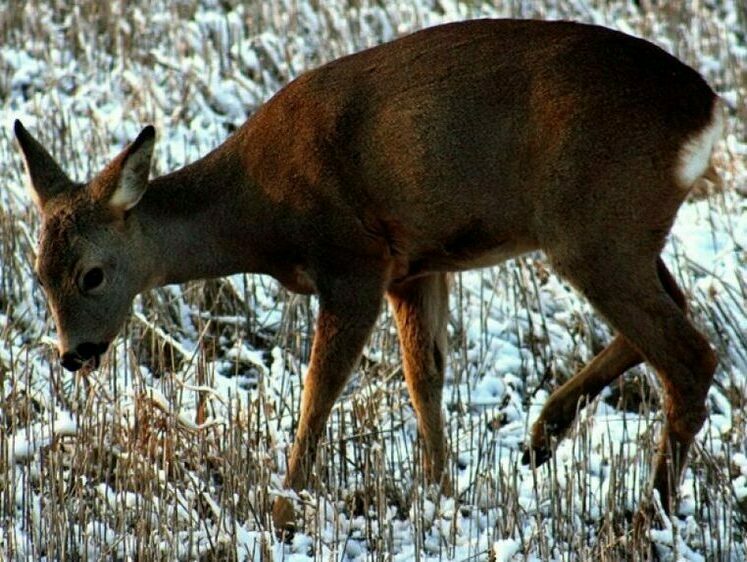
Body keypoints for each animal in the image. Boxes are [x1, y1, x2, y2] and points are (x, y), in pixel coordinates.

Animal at [13, 19, 724, 532]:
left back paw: (643, 521)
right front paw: (439, 495)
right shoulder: (411, 264)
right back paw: (544, 437)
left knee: (692, 354)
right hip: (621, 232)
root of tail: (707, 108)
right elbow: (424, 375)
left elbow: (320, 387)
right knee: (679, 312)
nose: (73, 354)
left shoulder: (354, 259)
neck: (261, 211)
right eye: (38, 276)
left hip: (593, 226)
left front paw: (284, 507)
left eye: (93, 275)